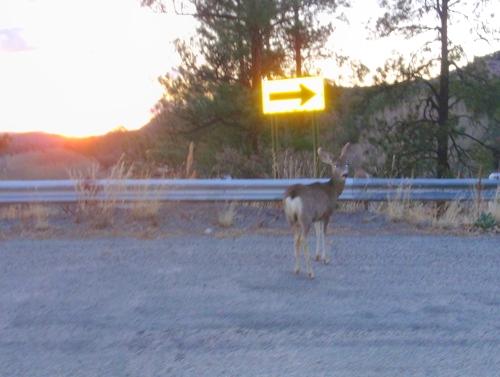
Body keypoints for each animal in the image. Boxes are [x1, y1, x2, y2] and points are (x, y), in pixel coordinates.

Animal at [284, 142, 350, 278]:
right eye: (335, 165)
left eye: (347, 163)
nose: (345, 174)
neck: (332, 191)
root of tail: (293, 195)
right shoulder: (327, 213)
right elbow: (324, 234)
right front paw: (326, 259)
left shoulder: (318, 217)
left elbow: (318, 232)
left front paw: (318, 256)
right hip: (305, 217)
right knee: (302, 240)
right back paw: (310, 272)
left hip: (291, 218)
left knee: (295, 239)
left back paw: (297, 269)